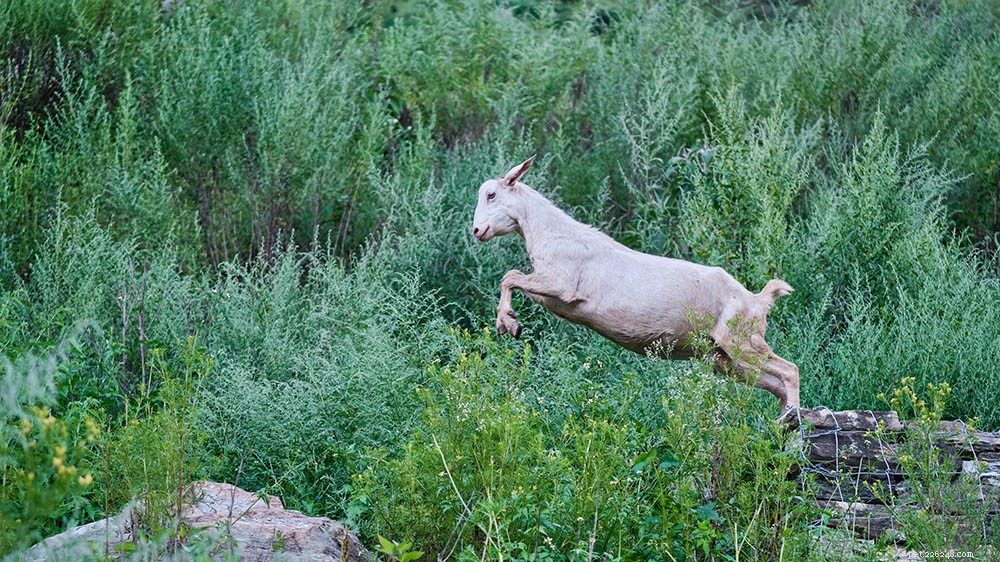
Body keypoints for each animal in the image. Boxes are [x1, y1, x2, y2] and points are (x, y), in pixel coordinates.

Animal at [471, 156, 800, 411]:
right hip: (723, 358)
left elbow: (509, 276)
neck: (548, 232)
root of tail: (758, 301)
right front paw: (509, 322)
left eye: (491, 195)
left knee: (791, 371)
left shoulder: (561, 285)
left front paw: (508, 323)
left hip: (742, 341)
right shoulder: (550, 297)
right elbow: (512, 278)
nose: (477, 230)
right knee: (776, 384)